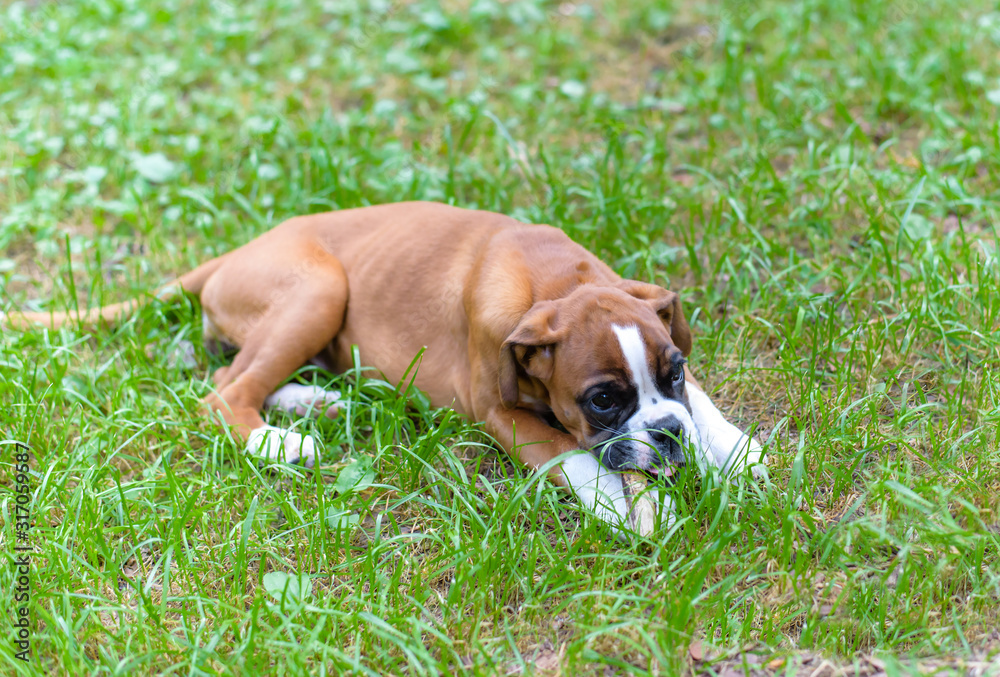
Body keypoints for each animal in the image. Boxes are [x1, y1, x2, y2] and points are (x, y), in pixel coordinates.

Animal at [3, 201, 764, 532]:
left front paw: (732, 448)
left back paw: (312, 401)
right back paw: (284, 441)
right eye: (603, 399)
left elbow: (703, 401)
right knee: (221, 392)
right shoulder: (498, 410)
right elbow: (570, 455)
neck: (554, 284)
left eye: (672, 371)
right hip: (319, 288)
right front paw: (626, 505)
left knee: (241, 374)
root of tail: (233, 253)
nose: (666, 435)